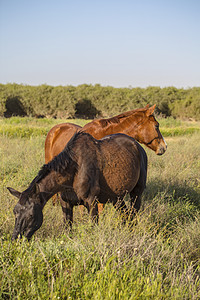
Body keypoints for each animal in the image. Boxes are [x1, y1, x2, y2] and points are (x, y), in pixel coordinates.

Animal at [7, 132, 147, 240]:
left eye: (31, 215)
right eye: (15, 212)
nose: (16, 238)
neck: (74, 170)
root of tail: (138, 146)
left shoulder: (91, 201)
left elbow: (93, 226)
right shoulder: (66, 203)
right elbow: (67, 227)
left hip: (136, 193)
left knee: (133, 213)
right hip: (116, 198)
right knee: (125, 215)